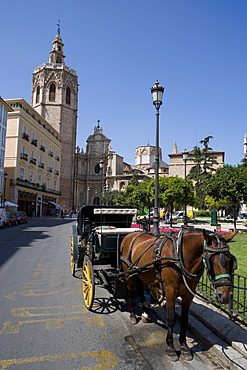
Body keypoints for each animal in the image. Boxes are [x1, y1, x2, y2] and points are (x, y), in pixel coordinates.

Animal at [120, 228, 237, 362]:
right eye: (211, 260)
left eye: (230, 260)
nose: (225, 295)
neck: (179, 258)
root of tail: (131, 234)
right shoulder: (170, 291)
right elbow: (171, 319)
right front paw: (171, 348)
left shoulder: (188, 294)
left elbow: (185, 320)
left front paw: (184, 346)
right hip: (128, 272)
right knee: (130, 291)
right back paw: (133, 315)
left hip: (144, 274)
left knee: (140, 289)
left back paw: (145, 313)